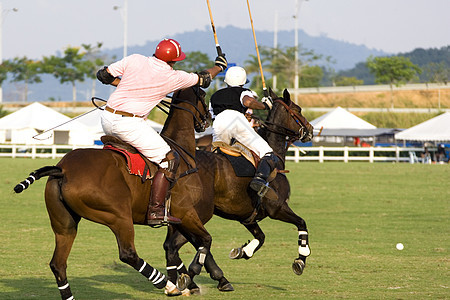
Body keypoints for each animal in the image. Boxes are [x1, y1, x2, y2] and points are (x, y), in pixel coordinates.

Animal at [13, 86, 232, 298]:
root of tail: (62, 170)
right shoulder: (185, 212)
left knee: (58, 264)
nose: (208, 119)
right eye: (202, 95)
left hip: (65, 224)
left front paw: (193, 280)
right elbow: (205, 240)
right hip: (118, 216)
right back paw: (167, 284)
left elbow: (184, 244)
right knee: (128, 253)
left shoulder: (181, 218)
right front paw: (189, 278)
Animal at [163, 88, 314, 292]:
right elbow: (301, 223)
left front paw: (242, 251)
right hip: (197, 214)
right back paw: (195, 278)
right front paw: (300, 260)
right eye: (297, 110)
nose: (310, 130)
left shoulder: (246, 216)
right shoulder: (277, 209)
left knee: (172, 246)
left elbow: (261, 237)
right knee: (178, 245)